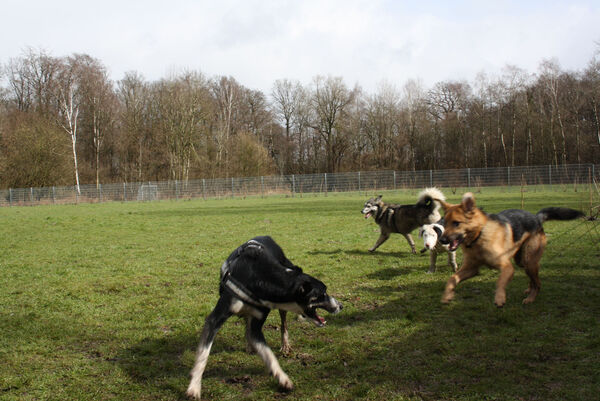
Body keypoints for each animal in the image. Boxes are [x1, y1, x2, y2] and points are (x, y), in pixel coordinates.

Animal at [185, 236, 342, 398]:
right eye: (322, 293)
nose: (340, 305)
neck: (259, 278)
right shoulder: (215, 319)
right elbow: (203, 354)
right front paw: (194, 387)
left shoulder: (257, 326)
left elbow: (269, 355)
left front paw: (283, 378)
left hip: (281, 310)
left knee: (283, 325)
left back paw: (284, 345)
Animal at [438, 192, 584, 304]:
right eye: (445, 223)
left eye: (456, 223)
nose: (441, 240)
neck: (479, 236)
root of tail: (536, 218)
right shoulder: (471, 269)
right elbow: (452, 279)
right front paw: (447, 296)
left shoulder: (507, 267)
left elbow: (500, 281)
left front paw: (500, 298)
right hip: (522, 261)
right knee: (533, 279)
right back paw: (529, 290)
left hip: (529, 261)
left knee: (538, 283)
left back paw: (530, 298)